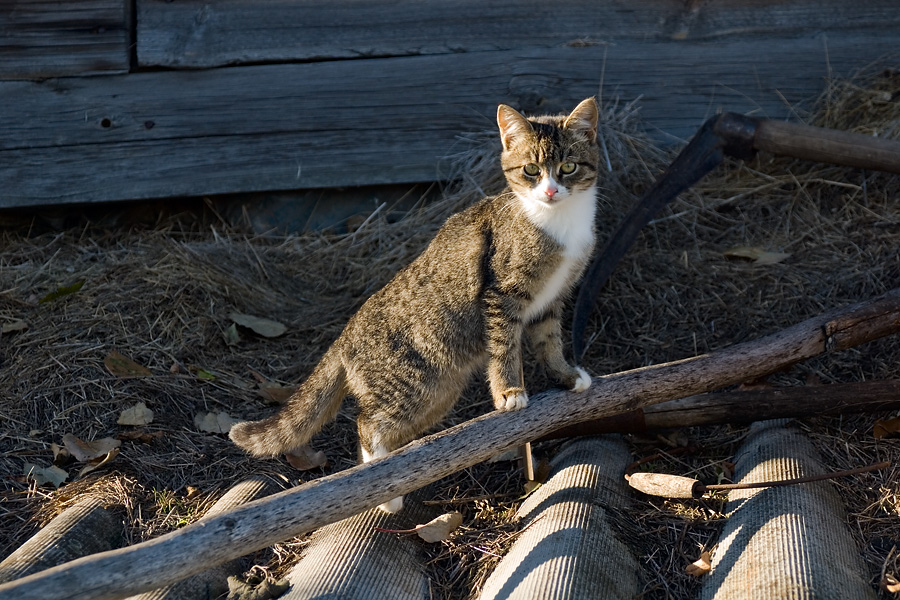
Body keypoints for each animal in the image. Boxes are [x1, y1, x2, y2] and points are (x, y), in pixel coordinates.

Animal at [229, 97, 600, 510]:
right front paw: (509, 392)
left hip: (438, 393)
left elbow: (550, 342)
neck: (557, 221)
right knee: (367, 423)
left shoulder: (552, 300)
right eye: (531, 170)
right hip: (413, 384)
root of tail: (345, 335)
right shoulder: (501, 293)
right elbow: (504, 347)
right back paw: (385, 494)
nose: (550, 192)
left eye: (568, 167)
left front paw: (565, 375)